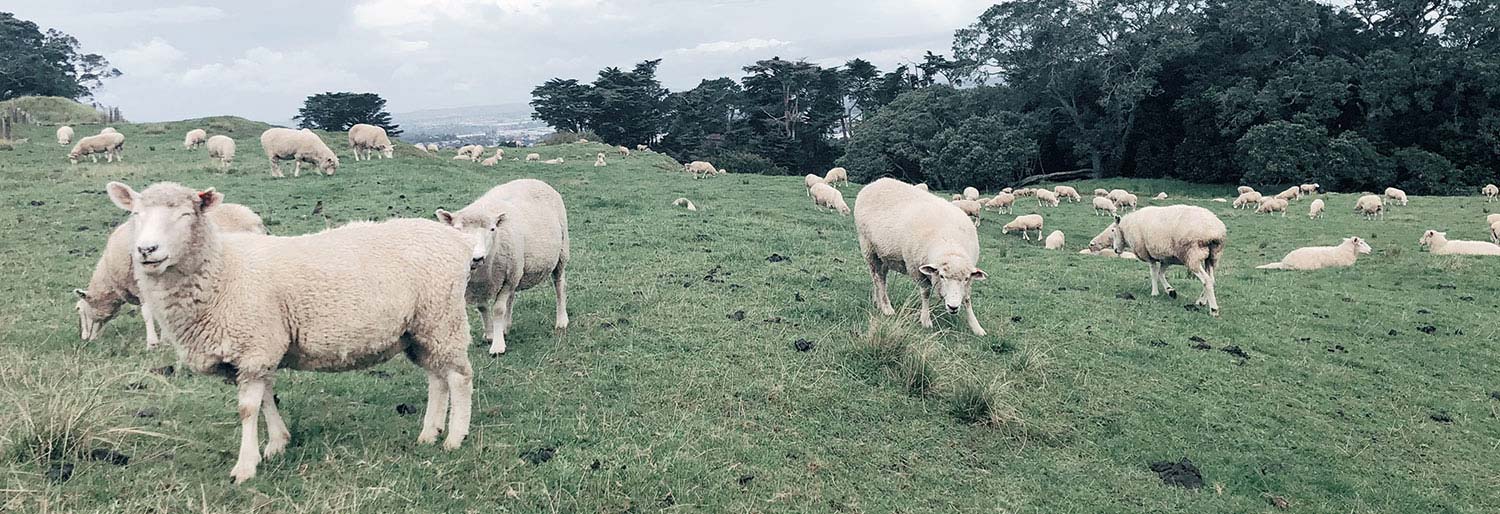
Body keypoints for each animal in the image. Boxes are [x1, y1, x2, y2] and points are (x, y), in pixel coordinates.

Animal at [75, 202, 267, 349]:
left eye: (81, 310)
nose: (85, 340)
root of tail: (254, 218)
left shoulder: (142, 286)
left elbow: (147, 314)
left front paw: (152, 343)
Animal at [104, 182, 475, 483]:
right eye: (135, 214)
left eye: (184, 214)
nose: (147, 250)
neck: (222, 270)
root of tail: (456, 240)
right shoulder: (258, 349)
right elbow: (267, 397)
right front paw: (277, 443)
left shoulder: (253, 346)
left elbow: (248, 409)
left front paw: (245, 466)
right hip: (419, 329)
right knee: (437, 378)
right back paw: (429, 433)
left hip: (442, 317)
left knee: (459, 377)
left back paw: (454, 438)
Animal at [434, 179, 569, 355]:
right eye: (457, 229)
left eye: (493, 229)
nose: (476, 257)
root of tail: (533, 179)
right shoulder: (477, 285)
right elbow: (482, 308)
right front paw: (490, 334)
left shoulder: (507, 280)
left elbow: (498, 309)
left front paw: (497, 346)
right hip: (517, 269)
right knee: (511, 298)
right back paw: (506, 326)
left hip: (560, 253)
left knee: (559, 285)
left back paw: (561, 320)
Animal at [854, 178, 989, 336]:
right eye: (941, 276)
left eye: (966, 278)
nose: (953, 307)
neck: (950, 244)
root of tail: (875, 183)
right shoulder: (916, 269)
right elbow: (925, 293)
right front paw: (925, 319)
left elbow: (967, 298)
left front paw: (976, 327)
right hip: (869, 247)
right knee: (878, 279)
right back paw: (887, 308)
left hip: (883, 254)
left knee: (879, 277)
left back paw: (878, 302)